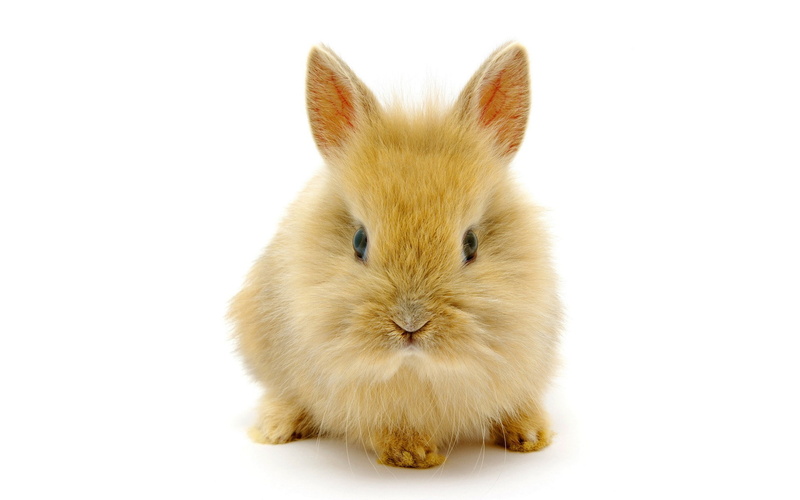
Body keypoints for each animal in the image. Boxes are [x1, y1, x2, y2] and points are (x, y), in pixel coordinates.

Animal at [229, 42, 562, 469]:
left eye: (470, 244)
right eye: (359, 241)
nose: (410, 324)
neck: (417, 369)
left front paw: (531, 436)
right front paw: (413, 454)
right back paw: (276, 428)